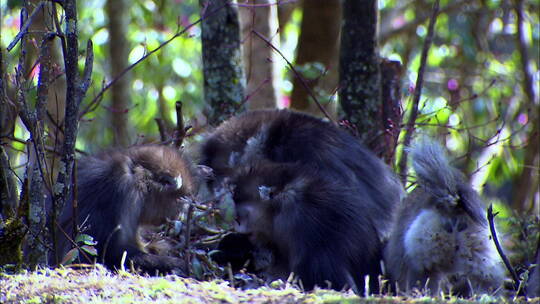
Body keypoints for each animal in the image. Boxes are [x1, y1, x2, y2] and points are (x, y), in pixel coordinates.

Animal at [53, 145, 198, 276]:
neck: (135, 172)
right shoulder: (124, 193)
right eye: (180, 198)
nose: (179, 214)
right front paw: (176, 264)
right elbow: (107, 252)